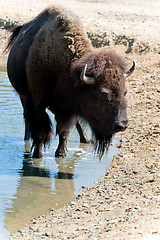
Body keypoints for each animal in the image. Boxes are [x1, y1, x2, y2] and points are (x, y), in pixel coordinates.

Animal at [6, 4, 134, 158]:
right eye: (101, 94)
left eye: (125, 92)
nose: (122, 125)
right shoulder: (38, 102)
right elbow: (41, 131)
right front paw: (37, 154)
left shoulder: (67, 108)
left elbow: (64, 130)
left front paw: (60, 153)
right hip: (23, 94)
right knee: (27, 117)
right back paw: (26, 138)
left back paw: (86, 139)